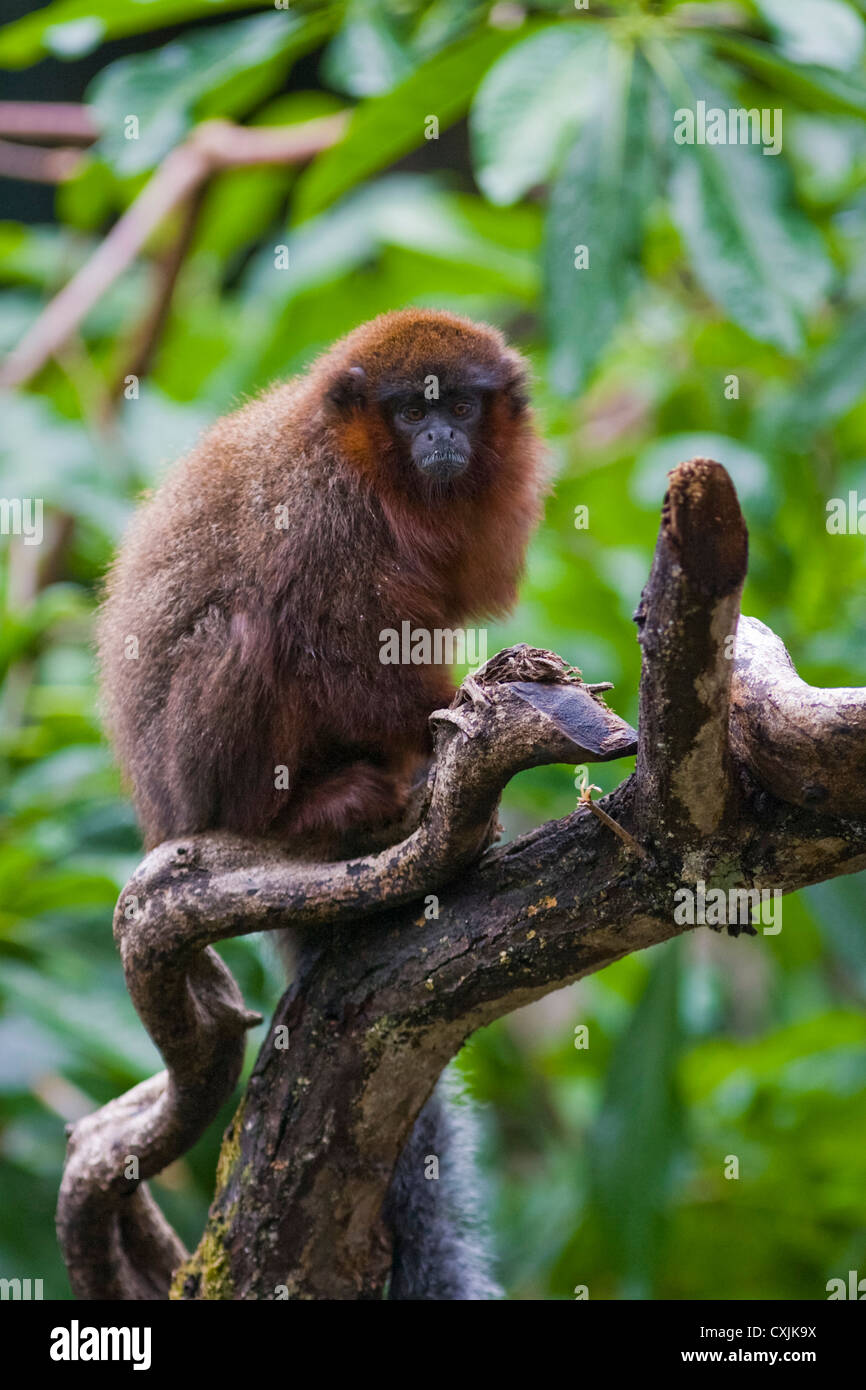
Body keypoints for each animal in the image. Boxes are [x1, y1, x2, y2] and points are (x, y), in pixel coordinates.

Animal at [97, 307, 548, 1298]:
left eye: (458, 404)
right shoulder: (323, 510)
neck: (376, 475)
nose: (441, 437)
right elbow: (337, 643)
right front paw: (440, 725)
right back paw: (312, 812)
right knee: (251, 622)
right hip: (196, 776)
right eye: (410, 412)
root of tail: (160, 815)